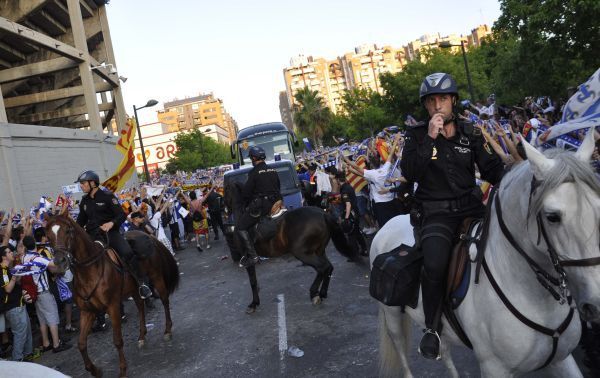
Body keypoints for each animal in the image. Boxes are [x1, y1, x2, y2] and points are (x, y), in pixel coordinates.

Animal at [45, 214, 179, 378]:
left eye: (68, 231)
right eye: (48, 236)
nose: (59, 262)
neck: (90, 271)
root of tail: (149, 236)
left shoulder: (113, 306)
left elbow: (117, 340)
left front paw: (122, 371)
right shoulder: (87, 311)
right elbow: (81, 344)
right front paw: (95, 370)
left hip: (157, 277)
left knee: (165, 301)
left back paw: (167, 330)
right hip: (134, 290)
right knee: (141, 307)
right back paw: (142, 337)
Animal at [224, 180, 356, 314]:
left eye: (225, 189)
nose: (225, 210)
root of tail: (322, 213)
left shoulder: (248, 260)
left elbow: (253, 282)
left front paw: (253, 304)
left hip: (302, 253)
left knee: (322, 268)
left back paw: (314, 293)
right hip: (318, 250)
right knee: (327, 267)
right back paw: (321, 293)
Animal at [372, 131, 596, 378]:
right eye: (552, 216)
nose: (595, 303)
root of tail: (386, 225)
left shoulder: (562, 360)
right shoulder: (494, 367)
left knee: (444, 351)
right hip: (392, 315)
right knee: (401, 350)